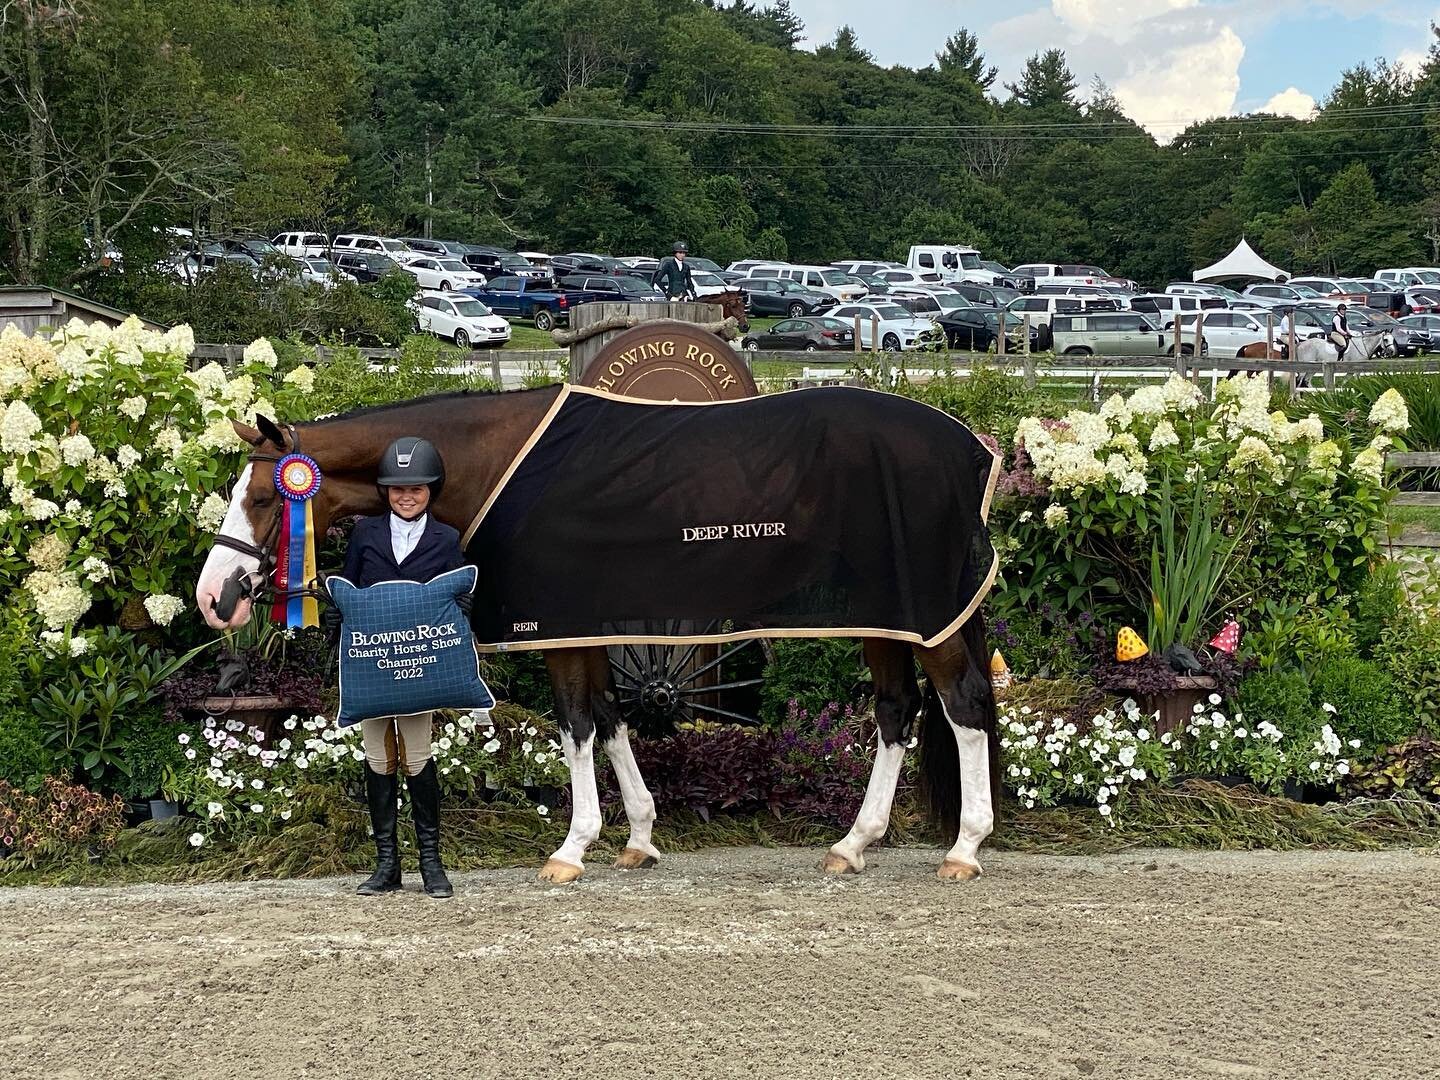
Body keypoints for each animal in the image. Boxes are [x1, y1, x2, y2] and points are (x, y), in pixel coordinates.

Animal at [194, 388, 1002, 887]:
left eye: (262, 496)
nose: (213, 597)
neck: (498, 462)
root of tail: (970, 445)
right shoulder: (590, 625)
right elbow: (612, 723)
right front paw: (639, 839)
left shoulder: (559, 630)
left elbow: (578, 725)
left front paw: (572, 848)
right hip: (887, 617)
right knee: (897, 714)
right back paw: (853, 844)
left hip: (926, 620)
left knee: (962, 708)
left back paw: (965, 848)